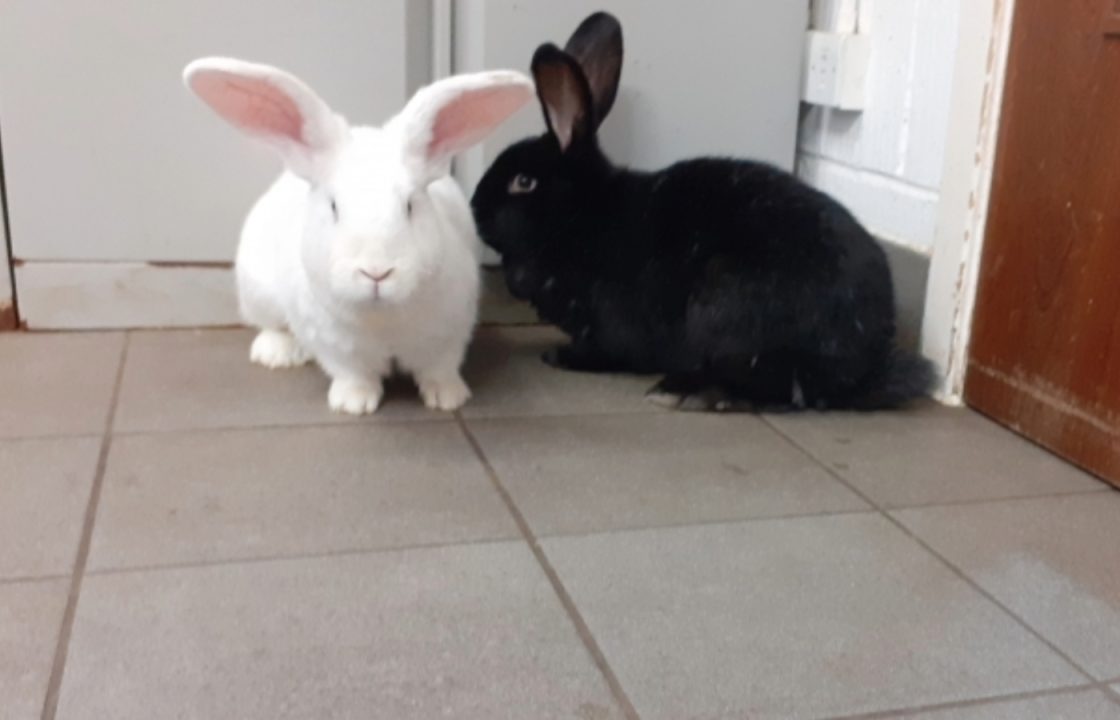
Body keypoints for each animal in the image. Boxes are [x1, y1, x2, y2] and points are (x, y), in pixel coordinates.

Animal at [183, 59, 533, 414]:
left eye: (410, 206)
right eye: (334, 207)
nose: (376, 272)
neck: (381, 319)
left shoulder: (450, 333)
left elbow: (440, 368)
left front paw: (448, 398)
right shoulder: (335, 346)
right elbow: (354, 374)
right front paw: (353, 404)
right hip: (257, 291)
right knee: (270, 324)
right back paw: (276, 354)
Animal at [472, 12, 936, 412]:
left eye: (523, 182)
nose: (475, 206)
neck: (580, 217)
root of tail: (863, 364)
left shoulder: (613, 325)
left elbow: (612, 351)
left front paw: (560, 356)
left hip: (727, 310)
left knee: (775, 385)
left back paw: (684, 392)